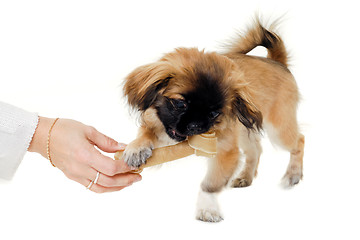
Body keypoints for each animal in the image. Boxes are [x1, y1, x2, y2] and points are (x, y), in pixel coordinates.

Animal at [121, 17, 304, 222]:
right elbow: (145, 134)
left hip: (278, 129)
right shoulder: (159, 128)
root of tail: (277, 61)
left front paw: (207, 208)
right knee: (255, 150)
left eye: (214, 114)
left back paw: (293, 175)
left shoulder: (226, 152)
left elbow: (210, 184)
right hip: (245, 130)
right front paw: (136, 149)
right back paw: (245, 177)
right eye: (180, 104)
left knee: (299, 141)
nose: (195, 126)